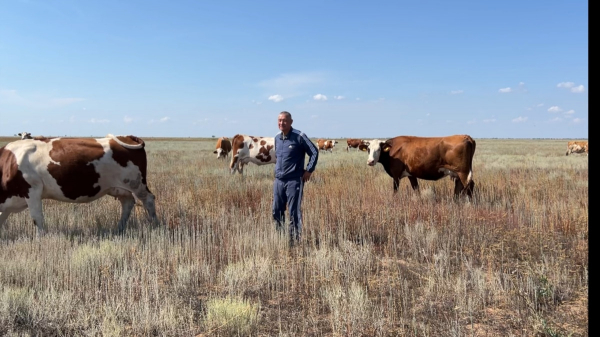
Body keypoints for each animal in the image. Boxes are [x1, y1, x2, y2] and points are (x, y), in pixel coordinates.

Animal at [0, 133, 157, 235]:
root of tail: (127, 137)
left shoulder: (32, 190)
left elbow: (37, 218)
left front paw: (41, 239)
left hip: (137, 184)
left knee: (148, 200)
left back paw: (156, 226)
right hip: (118, 188)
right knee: (127, 203)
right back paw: (119, 229)